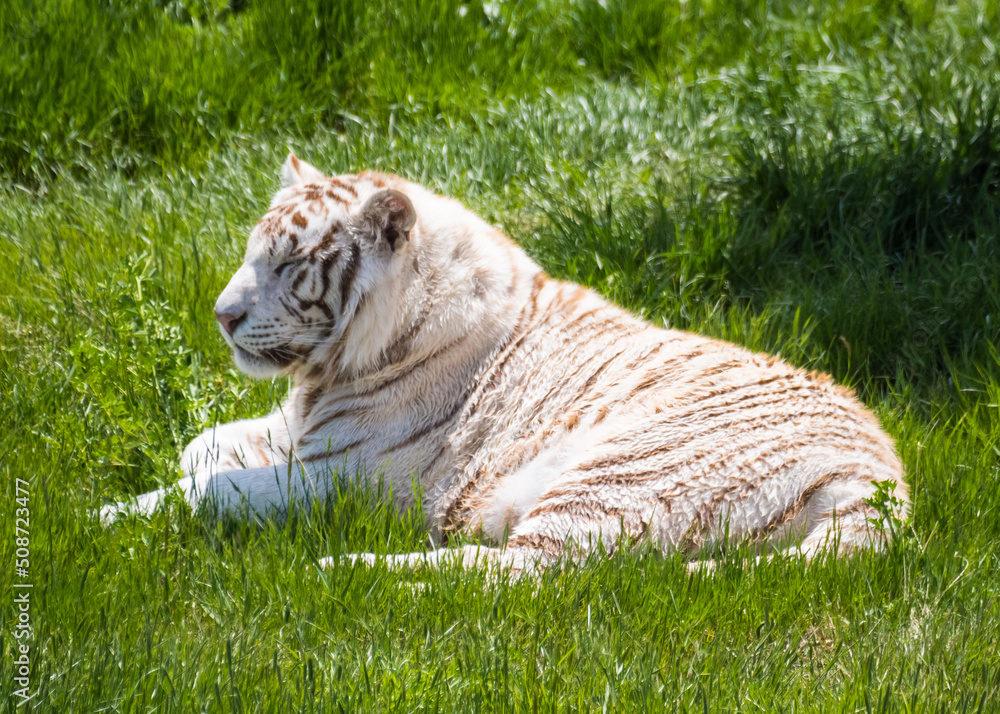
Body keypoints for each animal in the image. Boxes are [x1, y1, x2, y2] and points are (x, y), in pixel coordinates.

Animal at [105, 153, 912, 572]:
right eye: (251, 253)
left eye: (289, 262)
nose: (222, 315)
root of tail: (886, 476)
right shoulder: (305, 432)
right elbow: (202, 446)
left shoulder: (348, 478)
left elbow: (210, 492)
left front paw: (108, 516)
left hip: (618, 476)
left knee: (518, 573)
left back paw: (346, 575)